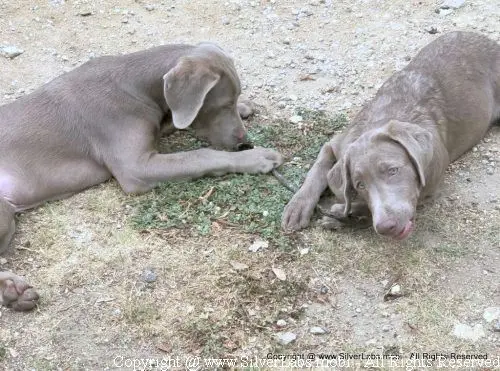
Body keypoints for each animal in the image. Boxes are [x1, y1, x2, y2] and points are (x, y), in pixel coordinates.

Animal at [0, 42, 284, 312]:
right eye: (222, 105)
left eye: (234, 99)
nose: (244, 141)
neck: (137, 86)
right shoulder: (136, 168)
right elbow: (201, 155)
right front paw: (257, 157)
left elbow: (172, 122)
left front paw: (246, 107)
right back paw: (13, 290)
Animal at [284, 32, 498, 241]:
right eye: (359, 185)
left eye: (393, 171)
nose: (386, 227)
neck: (381, 119)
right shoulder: (336, 143)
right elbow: (317, 170)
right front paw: (297, 206)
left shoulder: (429, 186)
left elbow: (368, 207)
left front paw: (342, 214)